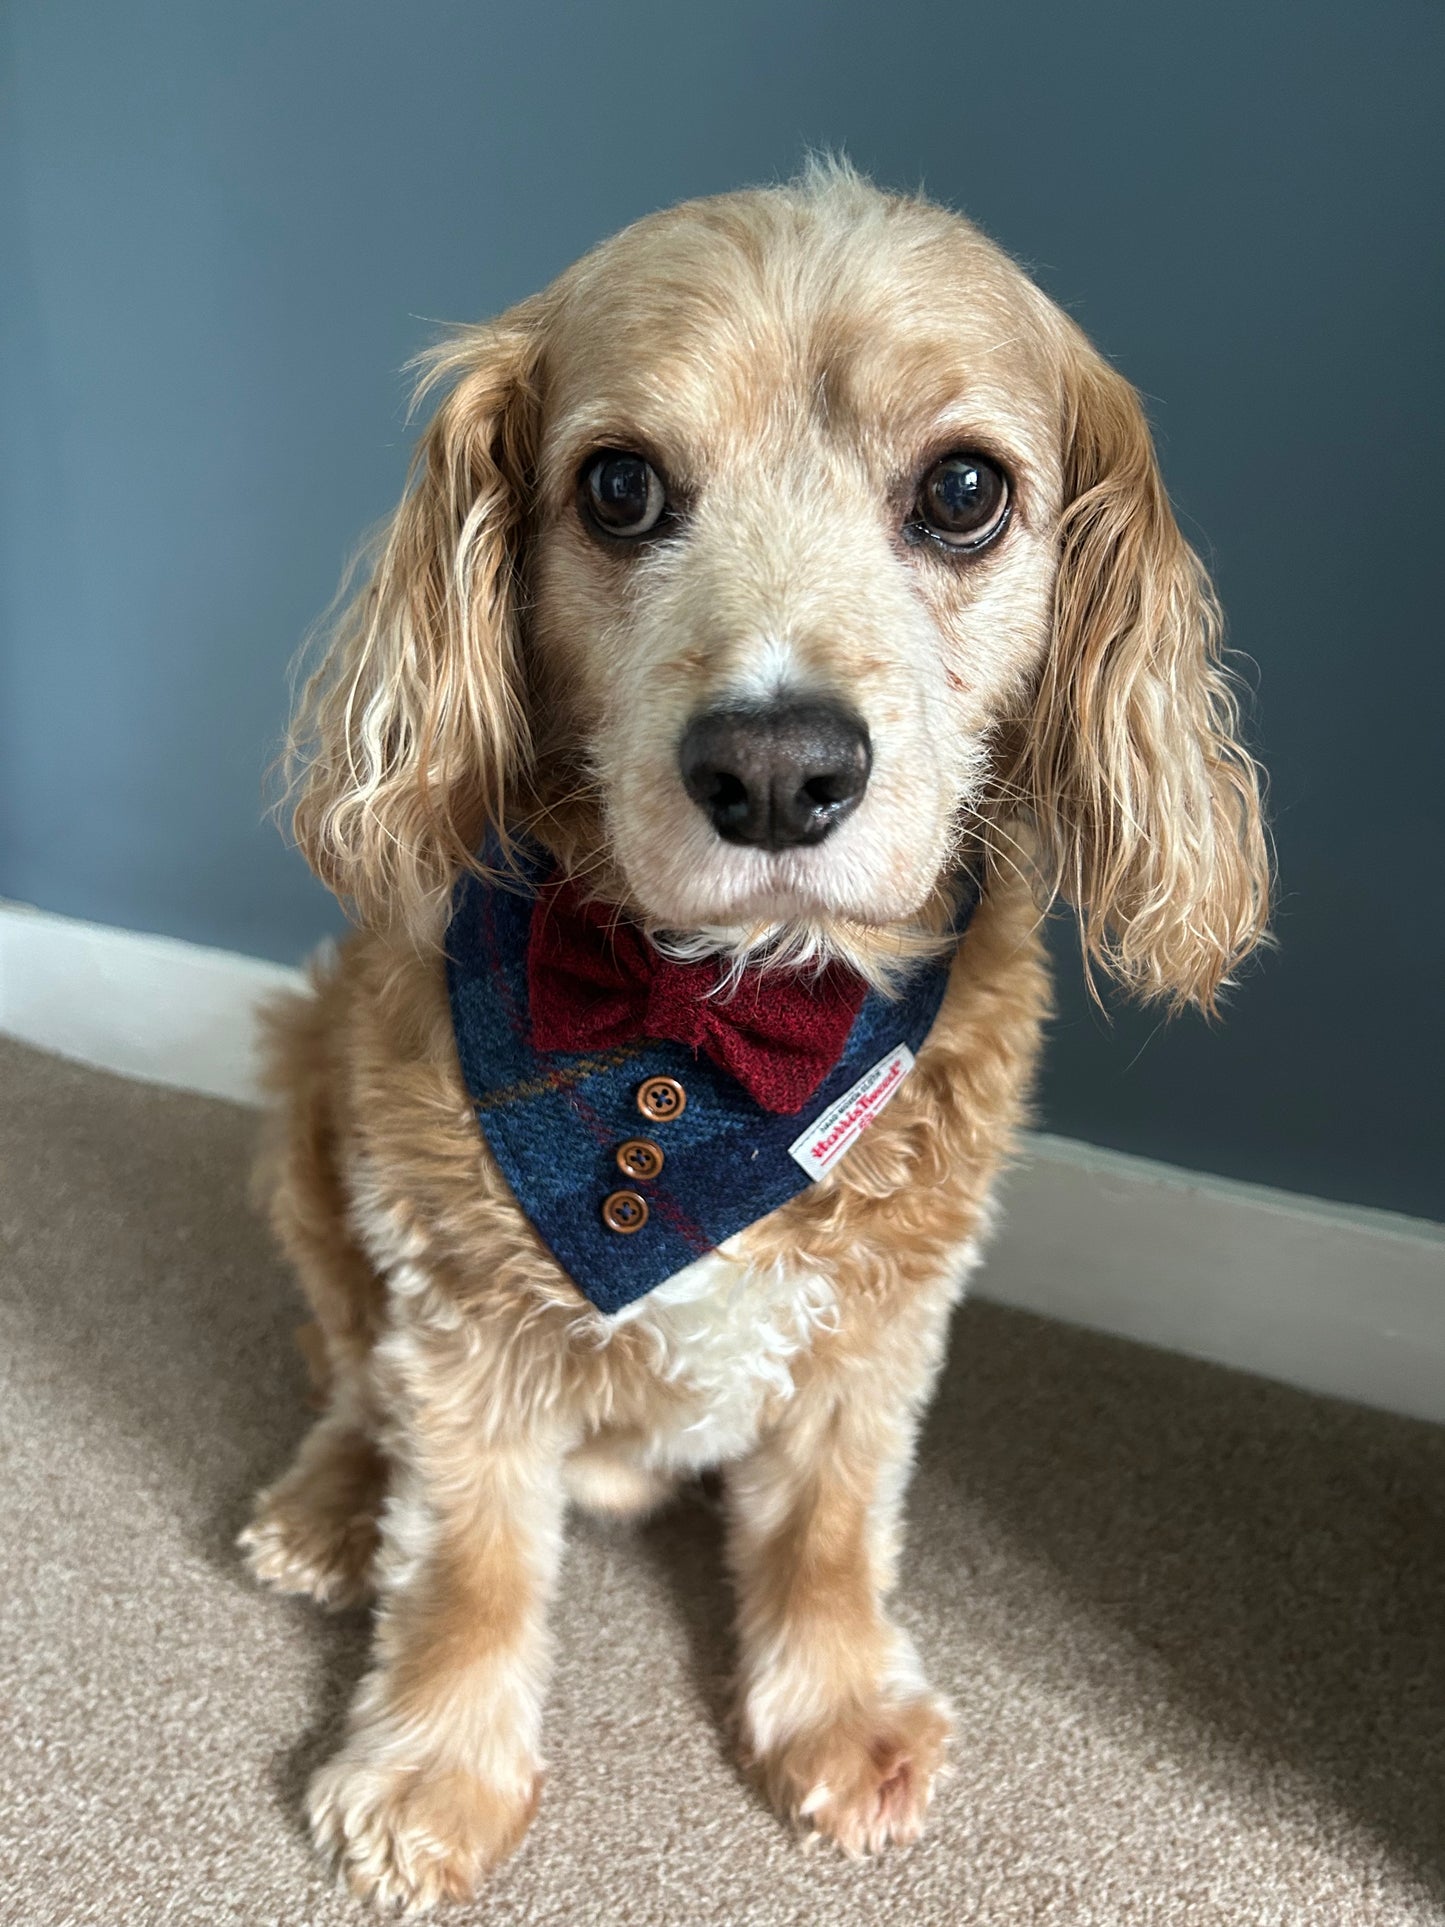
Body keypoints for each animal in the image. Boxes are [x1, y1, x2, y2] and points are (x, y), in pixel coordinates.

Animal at [243, 165, 1271, 1911]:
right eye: (619, 485)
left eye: (964, 491)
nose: (780, 767)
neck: (720, 1025)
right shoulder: (455, 1302)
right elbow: (464, 1553)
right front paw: (434, 1770)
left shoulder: (888, 1313)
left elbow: (831, 1521)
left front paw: (836, 1707)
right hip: (307, 1097)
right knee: (345, 1372)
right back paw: (321, 1509)